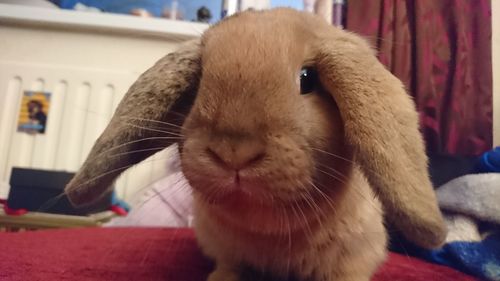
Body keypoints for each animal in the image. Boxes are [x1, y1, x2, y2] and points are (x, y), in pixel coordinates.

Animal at [64, 8, 448, 280]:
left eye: (307, 79)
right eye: (200, 81)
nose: (233, 153)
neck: (273, 236)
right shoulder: (229, 255)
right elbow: (229, 270)